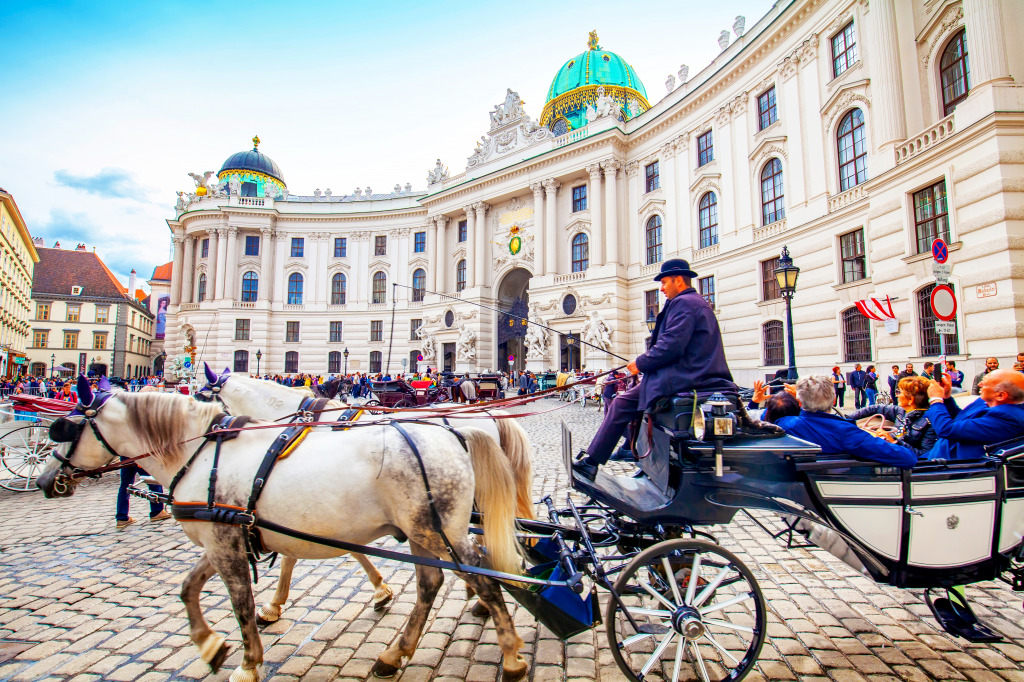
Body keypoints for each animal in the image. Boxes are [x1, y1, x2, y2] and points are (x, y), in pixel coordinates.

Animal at [195, 366, 540, 622]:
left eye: (200, 395)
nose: (212, 433)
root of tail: (488, 416)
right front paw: (380, 591)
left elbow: (302, 553)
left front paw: (272, 606)